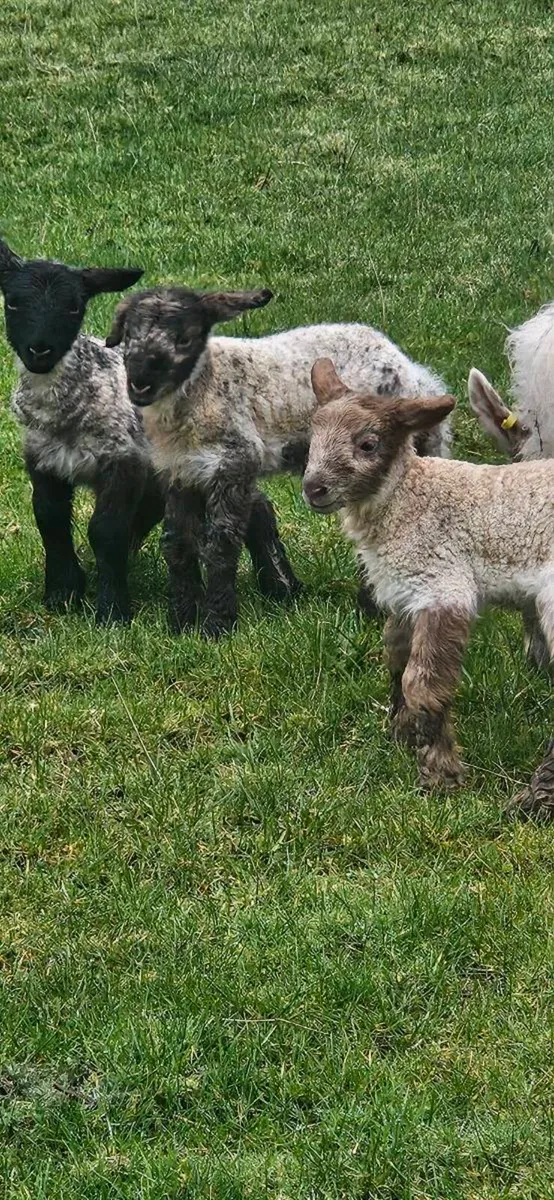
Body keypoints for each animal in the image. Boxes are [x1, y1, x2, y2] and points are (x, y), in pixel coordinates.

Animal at [0, 240, 295, 624]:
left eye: (74, 307)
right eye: (12, 302)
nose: (40, 350)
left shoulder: (122, 459)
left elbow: (105, 530)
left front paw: (112, 610)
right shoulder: (44, 460)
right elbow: (50, 522)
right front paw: (63, 594)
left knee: (257, 508)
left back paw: (281, 586)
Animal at [105, 284, 452, 638]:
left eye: (185, 339)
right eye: (129, 333)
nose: (140, 381)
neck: (204, 388)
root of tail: (413, 372)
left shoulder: (236, 461)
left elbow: (220, 544)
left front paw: (218, 625)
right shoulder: (180, 472)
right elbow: (176, 544)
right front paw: (181, 622)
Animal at [302, 356, 554, 807]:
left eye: (368, 444)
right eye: (312, 437)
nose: (314, 489)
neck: (408, 498)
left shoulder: (443, 584)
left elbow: (421, 685)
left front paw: (441, 775)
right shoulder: (406, 591)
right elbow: (396, 658)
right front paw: (402, 735)